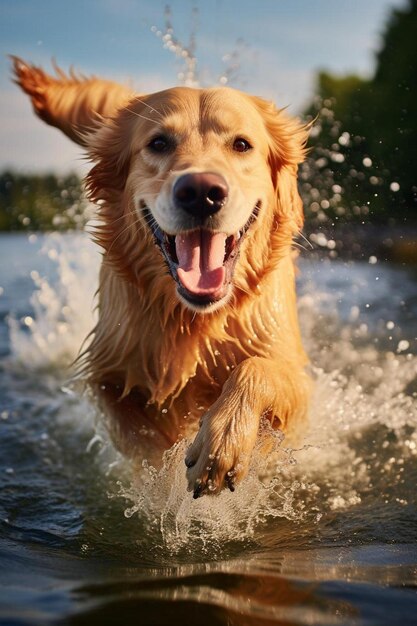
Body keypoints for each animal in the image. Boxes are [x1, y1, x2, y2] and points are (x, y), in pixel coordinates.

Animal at [11, 58, 310, 498]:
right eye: (158, 143)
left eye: (241, 144)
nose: (201, 191)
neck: (194, 319)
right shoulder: (111, 373)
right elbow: (147, 442)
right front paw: (165, 477)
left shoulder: (297, 378)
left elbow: (256, 369)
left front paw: (221, 444)